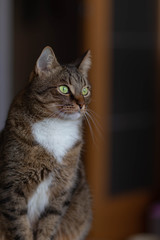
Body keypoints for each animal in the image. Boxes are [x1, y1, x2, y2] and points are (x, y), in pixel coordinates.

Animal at [0, 46, 92, 240]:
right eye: (64, 88)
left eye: (85, 91)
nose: (81, 104)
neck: (56, 126)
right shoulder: (11, 186)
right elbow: (20, 226)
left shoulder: (62, 189)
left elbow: (49, 223)